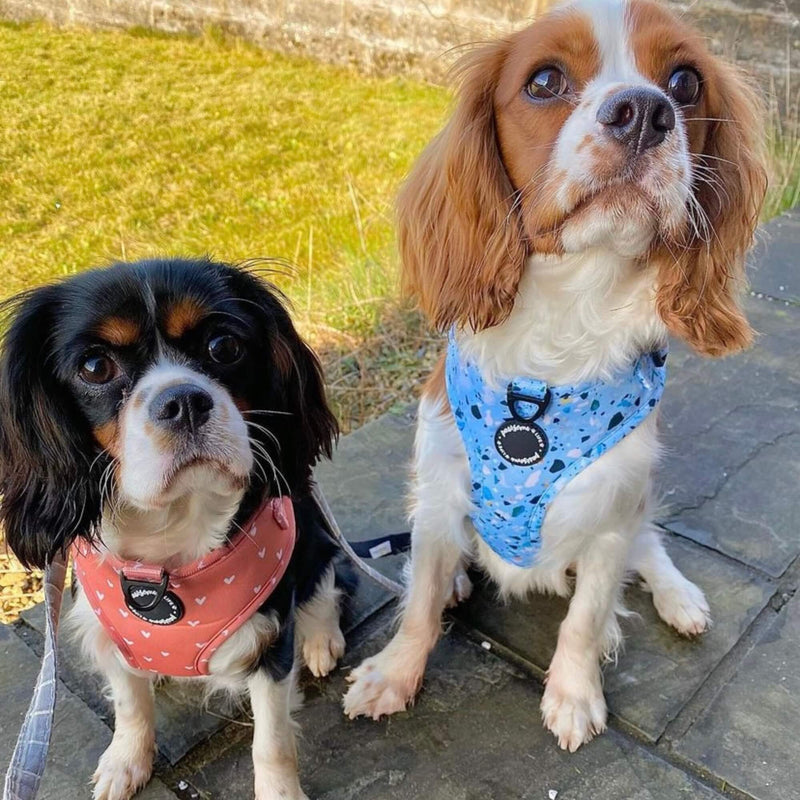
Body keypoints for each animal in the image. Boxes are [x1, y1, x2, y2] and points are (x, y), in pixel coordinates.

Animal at [346, 0, 768, 752]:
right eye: (543, 81)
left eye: (686, 82)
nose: (644, 112)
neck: (567, 325)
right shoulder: (441, 488)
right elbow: (420, 602)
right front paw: (394, 674)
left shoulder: (610, 516)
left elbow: (586, 619)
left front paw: (573, 696)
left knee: (651, 544)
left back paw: (679, 597)